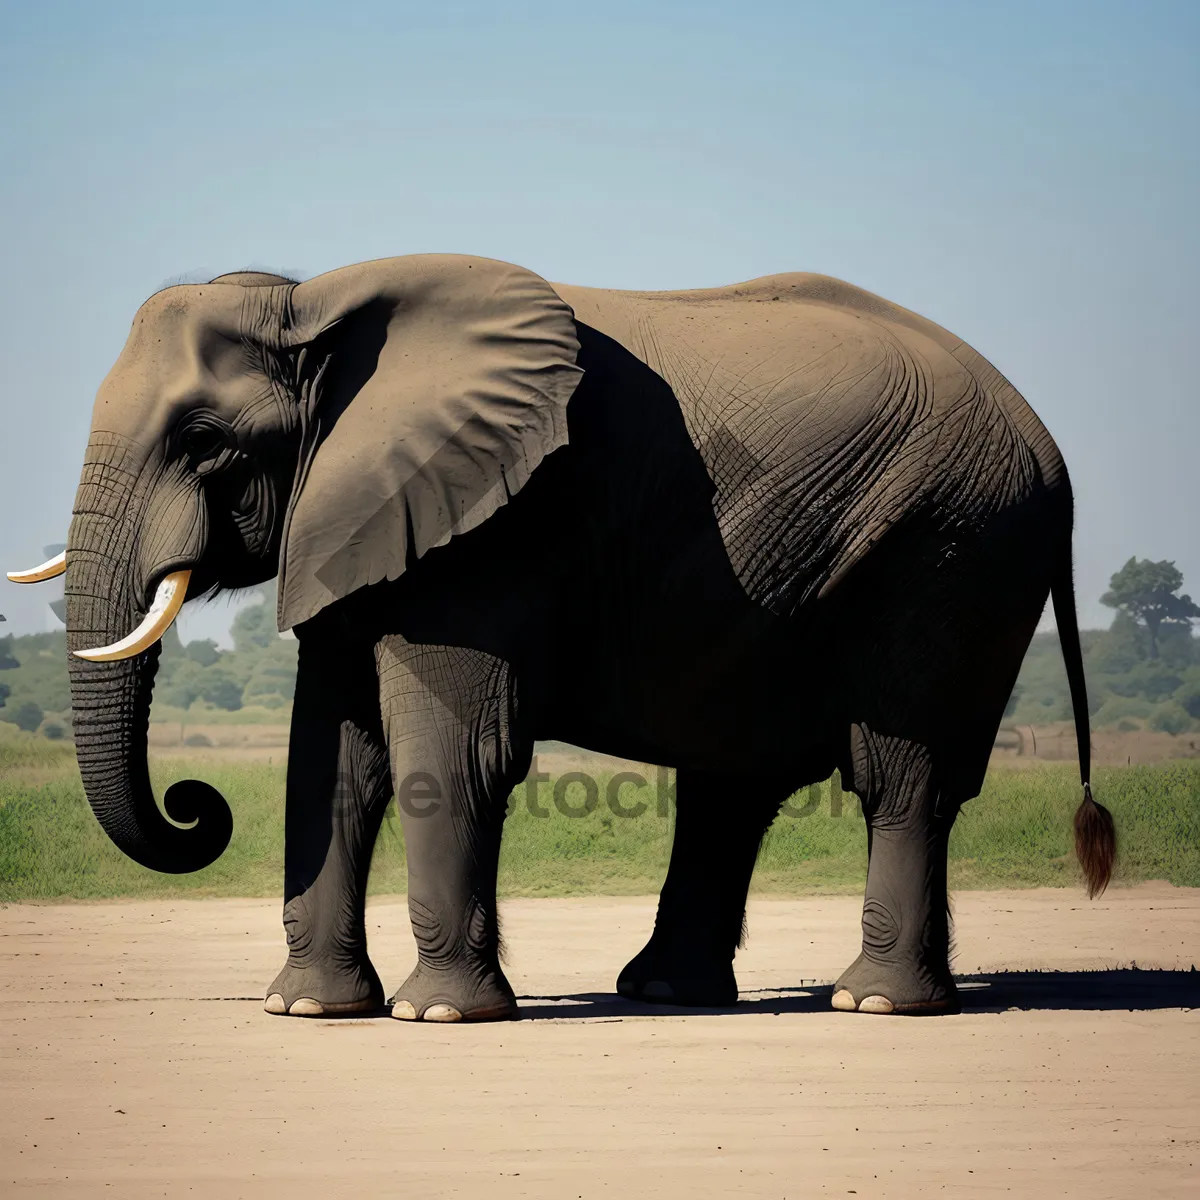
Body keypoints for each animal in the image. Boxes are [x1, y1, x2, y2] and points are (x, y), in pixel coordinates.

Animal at [9, 253, 1113, 1022]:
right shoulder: (358, 516)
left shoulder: (497, 528)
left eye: (203, 442)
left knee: (900, 771)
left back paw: (873, 1001)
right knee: (731, 785)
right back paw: (668, 993)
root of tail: (1051, 449)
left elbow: (450, 751)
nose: (195, 804)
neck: (316, 305)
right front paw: (306, 1008)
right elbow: (330, 757)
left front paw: (437, 1016)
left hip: (950, 554)